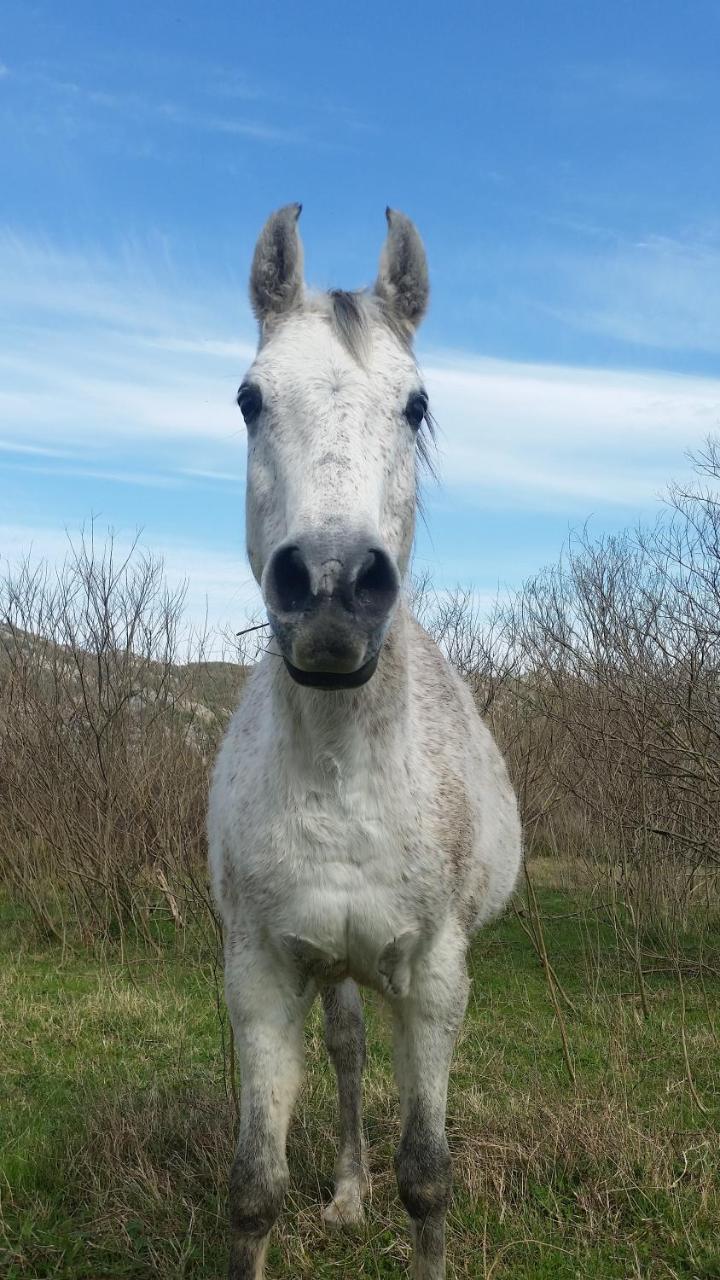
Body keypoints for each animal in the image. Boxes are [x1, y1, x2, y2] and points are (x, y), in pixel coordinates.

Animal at [204, 204, 517, 1274]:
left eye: (415, 405)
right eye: (250, 399)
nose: (335, 585)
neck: (344, 777)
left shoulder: (434, 979)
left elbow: (429, 1178)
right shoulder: (260, 976)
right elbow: (253, 1189)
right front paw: (320, 1197)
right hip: (331, 970)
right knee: (345, 1051)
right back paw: (345, 1194)